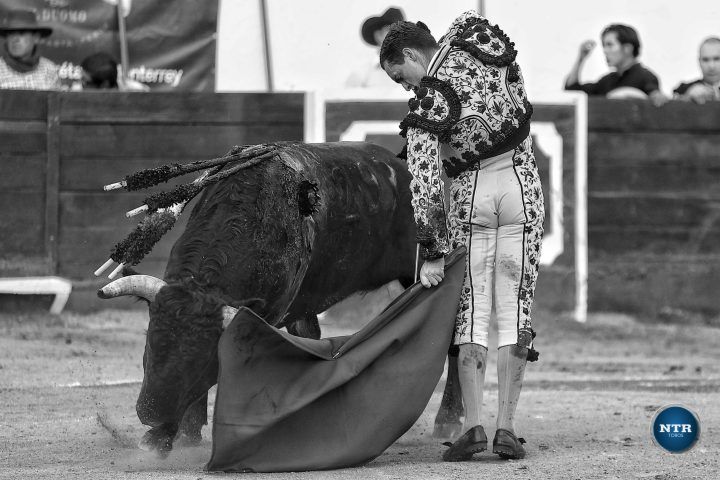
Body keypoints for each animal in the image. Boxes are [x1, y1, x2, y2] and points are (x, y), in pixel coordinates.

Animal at [98, 141, 463, 457]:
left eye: (202, 360)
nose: (149, 412)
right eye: (150, 343)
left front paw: (162, 437)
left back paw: (449, 421)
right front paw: (186, 433)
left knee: (454, 341)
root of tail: (401, 166)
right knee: (311, 336)